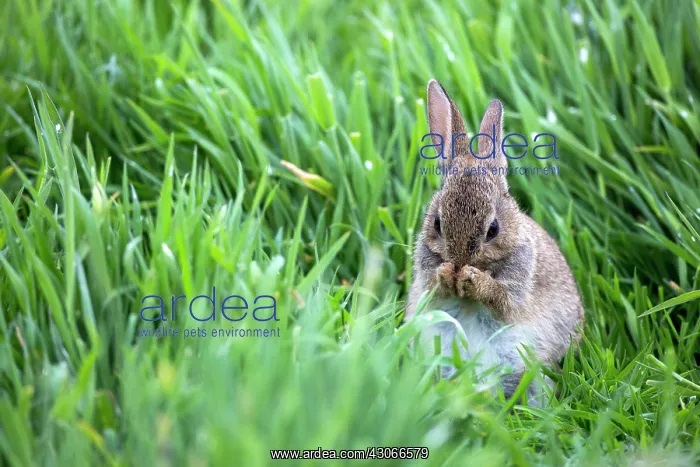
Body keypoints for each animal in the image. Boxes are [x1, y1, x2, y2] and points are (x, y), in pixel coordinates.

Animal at [405, 79, 584, 405]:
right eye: (437, 223)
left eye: (493, 229)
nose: (459, 262)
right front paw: (447, 275)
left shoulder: (518, 282)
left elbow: (503, 301)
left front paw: (472, 280)